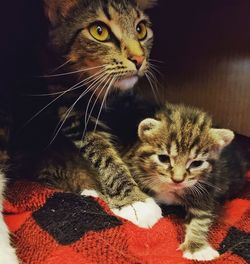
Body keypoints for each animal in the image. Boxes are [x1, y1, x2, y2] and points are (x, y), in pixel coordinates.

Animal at [121, 102, 246, 260]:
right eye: (163, 158)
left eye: (197, 163)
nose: (177, 179)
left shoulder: (207, 189)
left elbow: (201, 217)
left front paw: (196, 247)